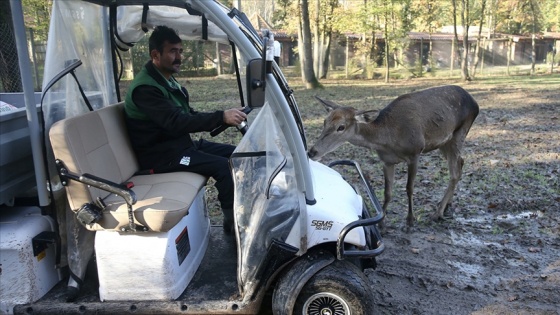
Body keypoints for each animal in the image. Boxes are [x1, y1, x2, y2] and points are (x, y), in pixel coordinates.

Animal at [308, 85, 480, 231]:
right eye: (324, 121)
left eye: (341, 127)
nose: (312, 152)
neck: (390, 140)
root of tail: (475, 103)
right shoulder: (387, 161)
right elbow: (387, 192)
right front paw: (382, 223)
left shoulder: (415, 152)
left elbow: (409, 188)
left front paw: (409, 222)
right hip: (444, 143)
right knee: (461, 162)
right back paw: (447, 204)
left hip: (459, 133)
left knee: (454, 172)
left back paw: (437, 213)